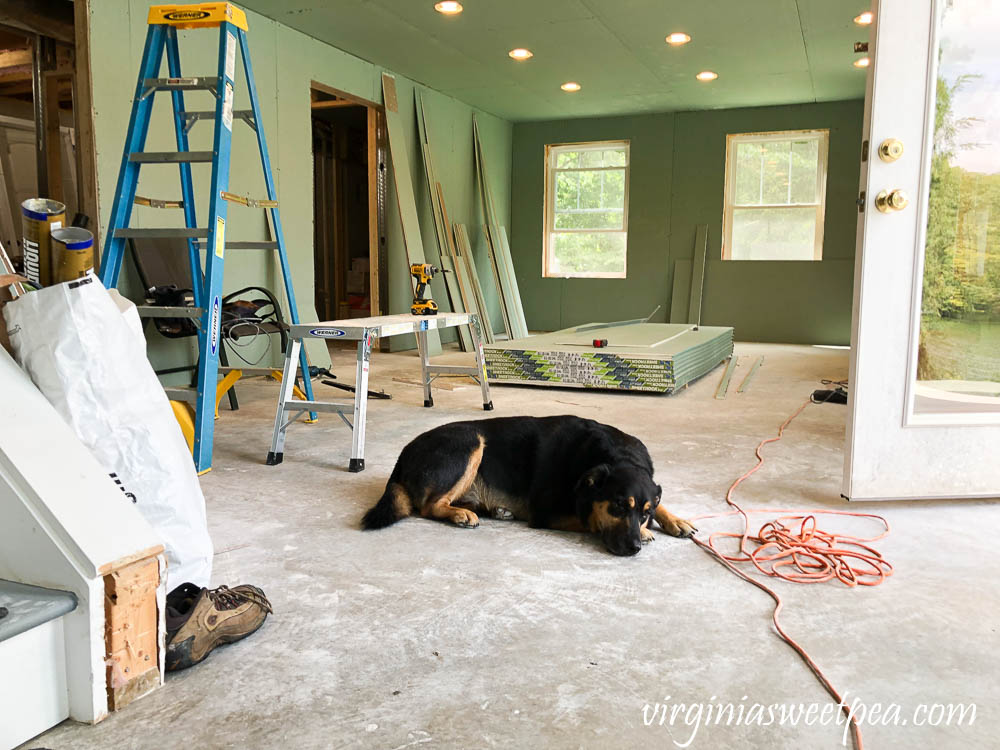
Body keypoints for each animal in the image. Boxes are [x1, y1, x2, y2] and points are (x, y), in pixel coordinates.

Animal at [364, 418, 700, 560]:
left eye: (643, 512)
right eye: (617, 505)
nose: (634, 549)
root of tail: (403, 454)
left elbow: (660, 501)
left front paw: (673, 520)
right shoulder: (546, 510)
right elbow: (591, 518)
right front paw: (646, 532)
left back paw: (493, 510)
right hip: (470, 439)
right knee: (428, 505)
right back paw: (460, 514)